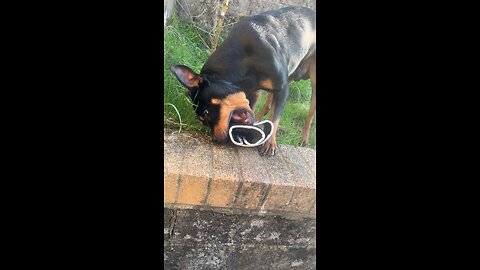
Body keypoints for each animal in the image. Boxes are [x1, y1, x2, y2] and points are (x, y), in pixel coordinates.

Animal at [171, 6, 316, 155]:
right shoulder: (255, 92)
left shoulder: (282, 88)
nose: (215, 140)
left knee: (310, 114)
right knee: (270, 101)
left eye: (206, 113)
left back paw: (304, 138)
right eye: (202, 122)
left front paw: (270, 142)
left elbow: (275, 117)